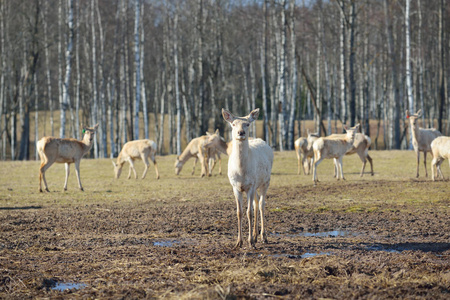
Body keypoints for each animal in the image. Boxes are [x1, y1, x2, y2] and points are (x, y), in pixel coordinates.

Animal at [222, 108, 274, 248]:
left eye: (247, 124)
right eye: (233, 124)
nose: (241, 132)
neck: (241, 171)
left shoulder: (250, 185)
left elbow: (248, 212)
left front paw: (250, 241)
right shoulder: (235, 186)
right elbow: (239, 212)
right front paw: (239, 242)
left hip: (265, 182)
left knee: (261, 204)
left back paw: (263, 236)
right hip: (256, 185)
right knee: (256, 203)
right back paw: (255, 235)